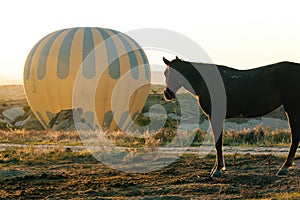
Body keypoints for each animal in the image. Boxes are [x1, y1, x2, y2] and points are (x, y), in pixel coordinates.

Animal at [163, 55, 300, 177]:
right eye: (165, 73)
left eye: (175, 73)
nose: (167, 94)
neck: (206, 82)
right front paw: (216, 168)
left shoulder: (216, 116)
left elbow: (218, 143)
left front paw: (218, 170)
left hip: (292, 110)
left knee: (295, 137)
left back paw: (284, 168)